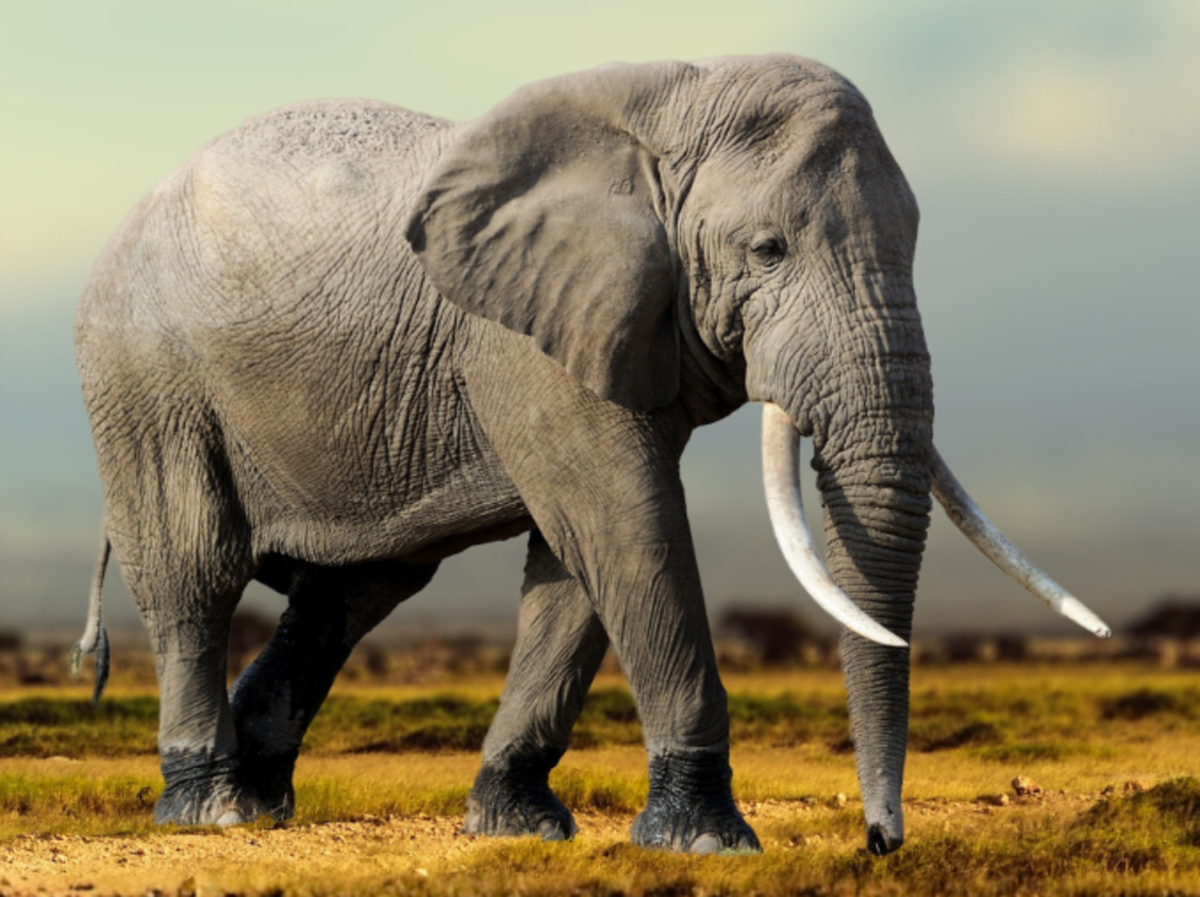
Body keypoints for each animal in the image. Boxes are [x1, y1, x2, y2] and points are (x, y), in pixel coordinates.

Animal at [72, 54, 1109, 855]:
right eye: (768, 249)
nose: (880, 840)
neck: (675, 100)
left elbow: (578, 562)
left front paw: (515, 825)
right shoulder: (525, 337)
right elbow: (627, 522)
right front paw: (707, 839)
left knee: (355, 589)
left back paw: (262, 797)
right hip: (144, 376)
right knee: (195, 570)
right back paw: (212, 809)